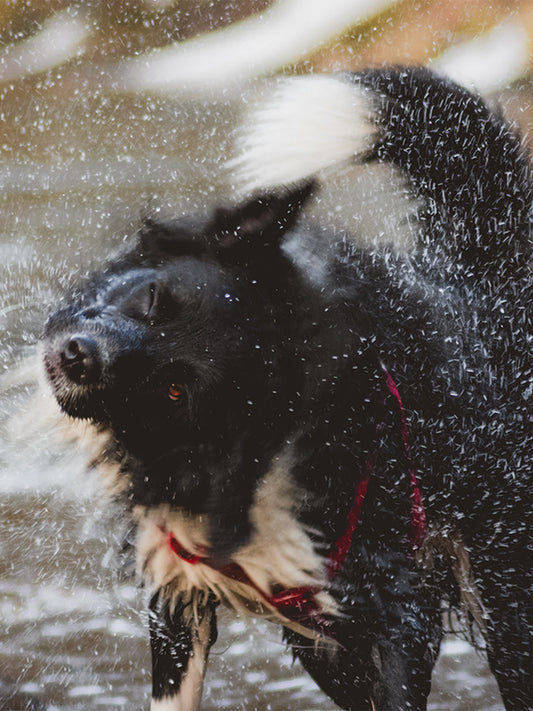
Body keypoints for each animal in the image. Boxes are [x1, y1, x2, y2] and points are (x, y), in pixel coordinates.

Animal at [42, 68, 532, 711]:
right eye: (152, 298)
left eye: (176, 391)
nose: (77, 357)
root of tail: (491, 285)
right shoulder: (184, 595)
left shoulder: (399, 607)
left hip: (504, 598)